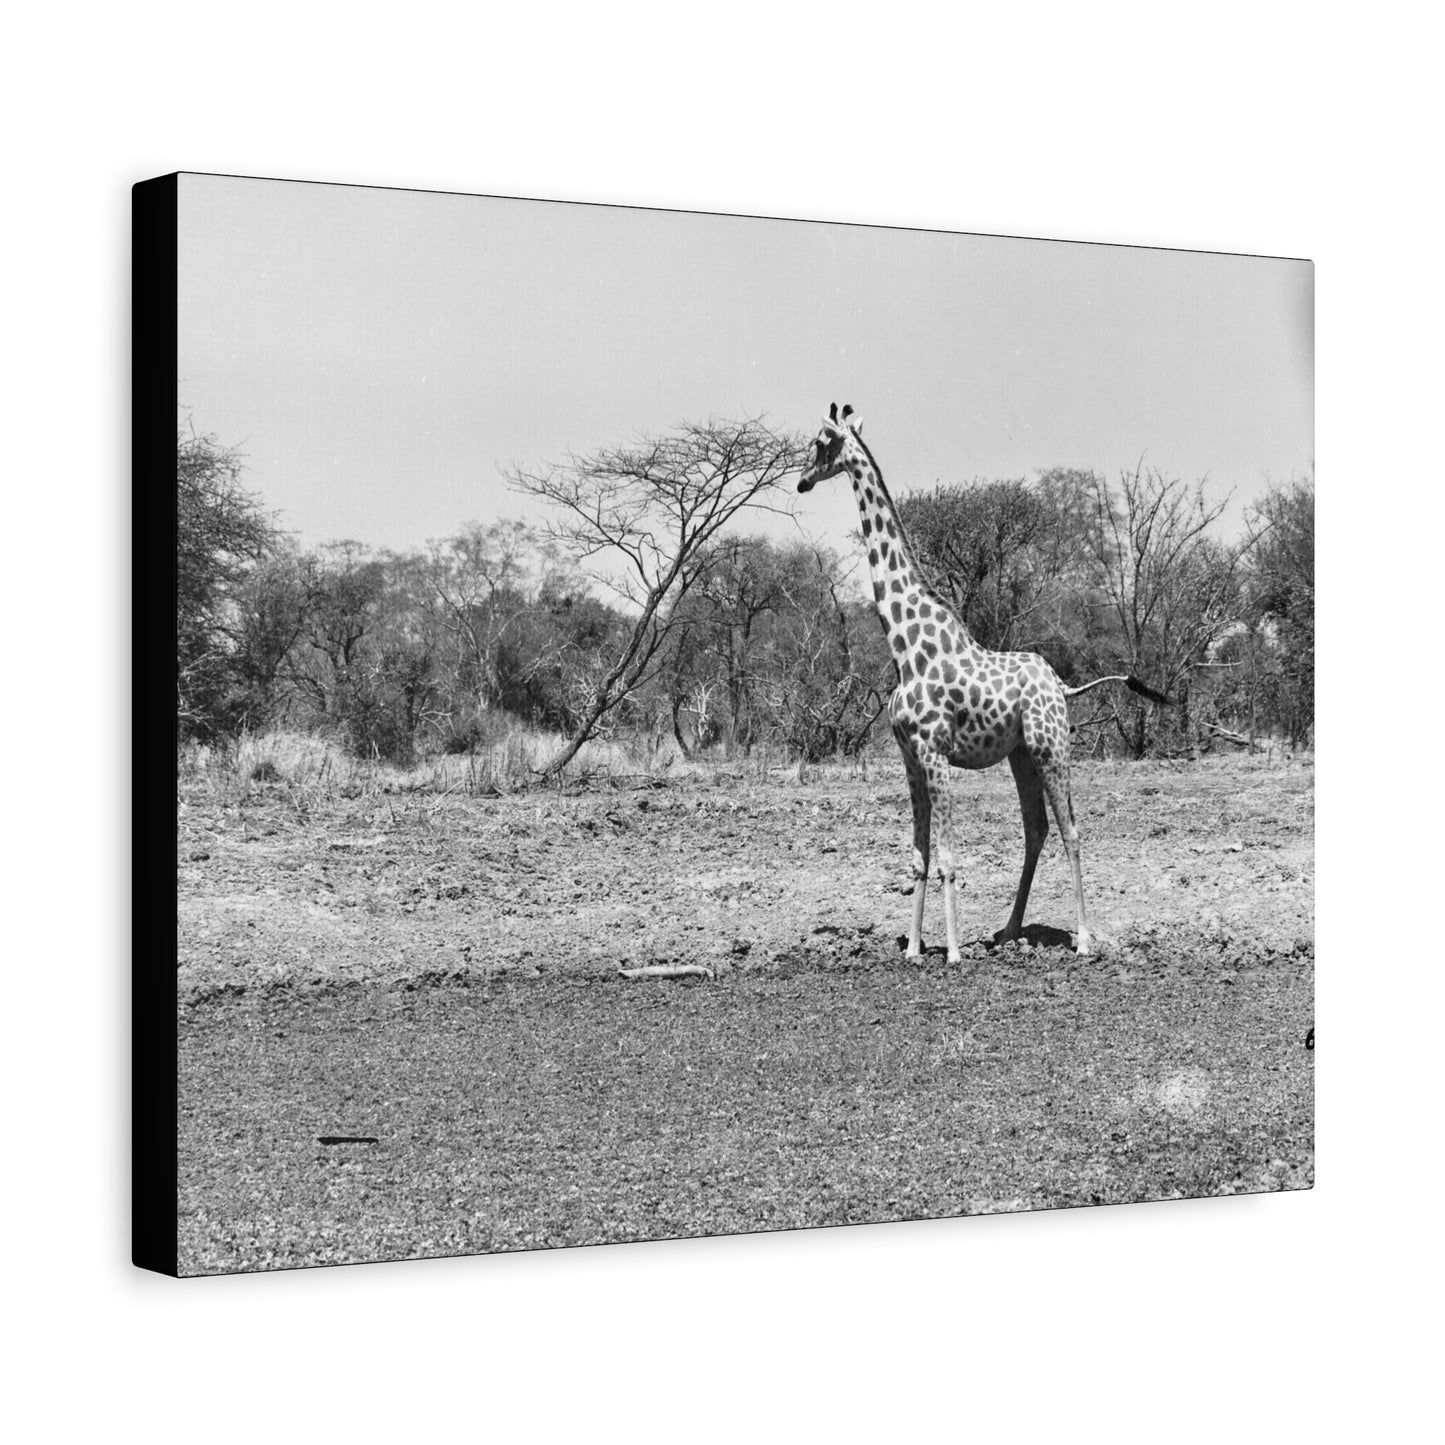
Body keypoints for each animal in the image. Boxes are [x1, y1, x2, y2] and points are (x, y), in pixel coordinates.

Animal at [796, 404, 1169, 961]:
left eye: (821, 442)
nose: (801, 481)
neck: (905, 648)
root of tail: (1062, 687)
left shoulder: (934, 754)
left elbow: (950, 857)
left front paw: (950, 953)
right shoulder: (910, 759)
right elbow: (919, 856)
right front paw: (912, 949)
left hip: (1051, 746)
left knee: (1072, 831)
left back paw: (1082, 939)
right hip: (1021, 754)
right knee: (1036, 829)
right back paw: (1009, 930)